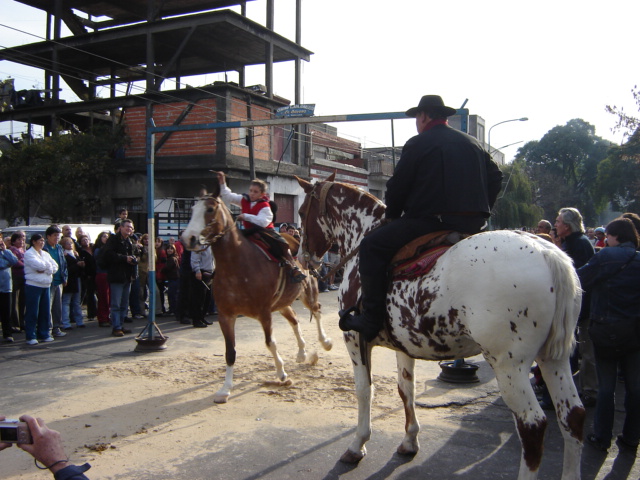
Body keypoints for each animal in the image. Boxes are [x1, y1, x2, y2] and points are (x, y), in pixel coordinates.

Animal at [180, 182, 330, 404]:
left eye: (210, 209)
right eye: (191, 209)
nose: (187, 238)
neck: (237, 266)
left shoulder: (264, 313)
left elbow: (270, 343)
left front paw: (282, 374)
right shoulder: (226, 316)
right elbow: (230, 352)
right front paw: (225, 389)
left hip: (308, 293)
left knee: (317, 311)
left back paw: (325, 342)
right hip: (283, 303)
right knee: (295, 320)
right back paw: (302, 352)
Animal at [296, 175, 584, 480]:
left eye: (302, 212)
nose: (303, 258)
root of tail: (547, 252)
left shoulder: (355, 338)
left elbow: (364, 390)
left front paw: (358, 444)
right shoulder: (404, 344)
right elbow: (405, 389)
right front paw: (410, 441)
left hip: (510, 366)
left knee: (533, 425)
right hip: (554, 359)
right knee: (573, 417)